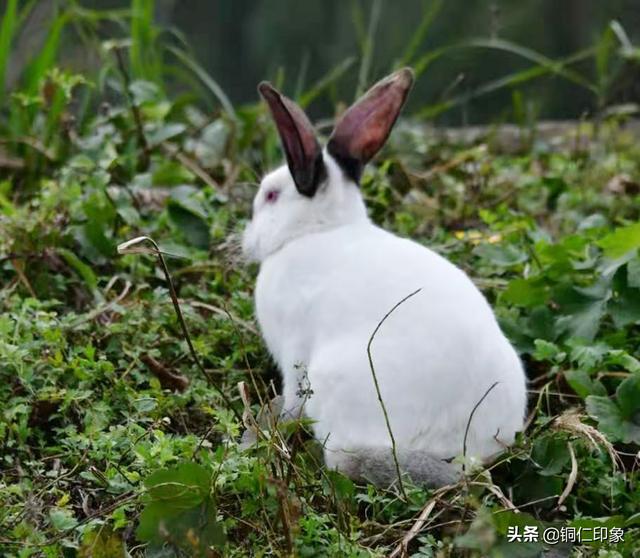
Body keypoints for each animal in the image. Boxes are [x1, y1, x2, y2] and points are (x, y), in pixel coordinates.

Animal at [242, 68, 528, 488]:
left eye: (271, 196)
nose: (247, 241)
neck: (319, 230)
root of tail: (468, 448)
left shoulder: (294, 352)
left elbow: (292, 401)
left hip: (334, 386)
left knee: (344, 460)